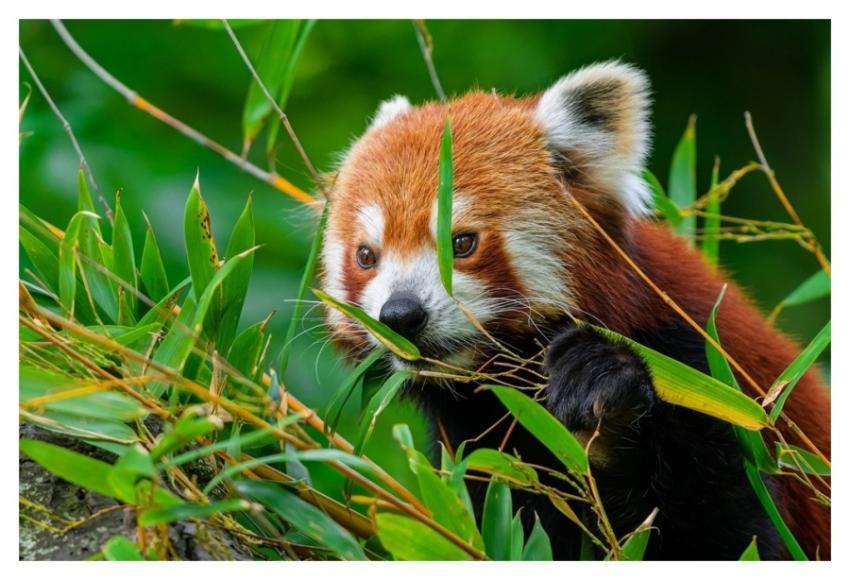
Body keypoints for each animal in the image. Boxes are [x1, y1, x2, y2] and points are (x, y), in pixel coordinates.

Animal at [319, 61, 830, 560]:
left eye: (461, 243)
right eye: (366, 256)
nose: (400, 315)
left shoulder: (708, 383)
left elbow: (734, 534)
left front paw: (604, 398)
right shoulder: (478, 449)